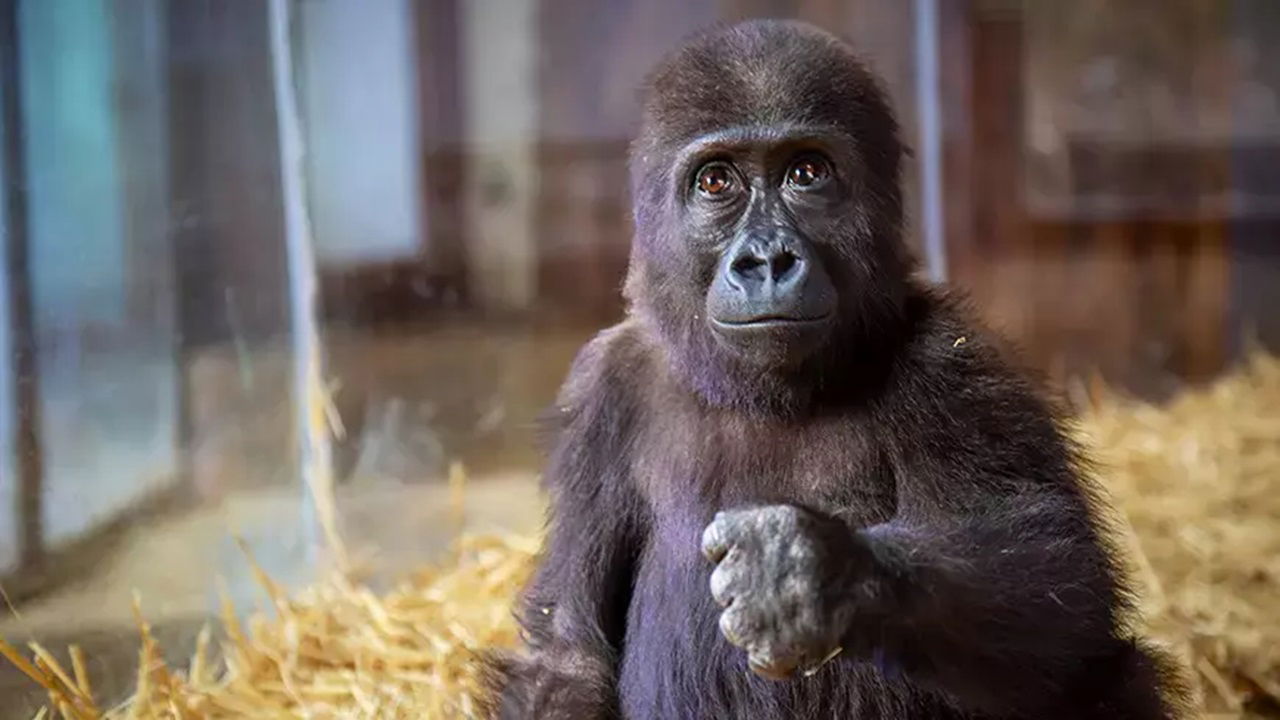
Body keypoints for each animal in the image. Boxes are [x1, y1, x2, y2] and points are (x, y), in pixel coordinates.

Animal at [483, 16, 1182, 717]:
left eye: (807, 172)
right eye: (715, 182)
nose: (767, 260)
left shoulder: (954, 363)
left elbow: (1062, 587)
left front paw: (815, 572)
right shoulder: (600, 393)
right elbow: (567, 656)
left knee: (1106, 671)